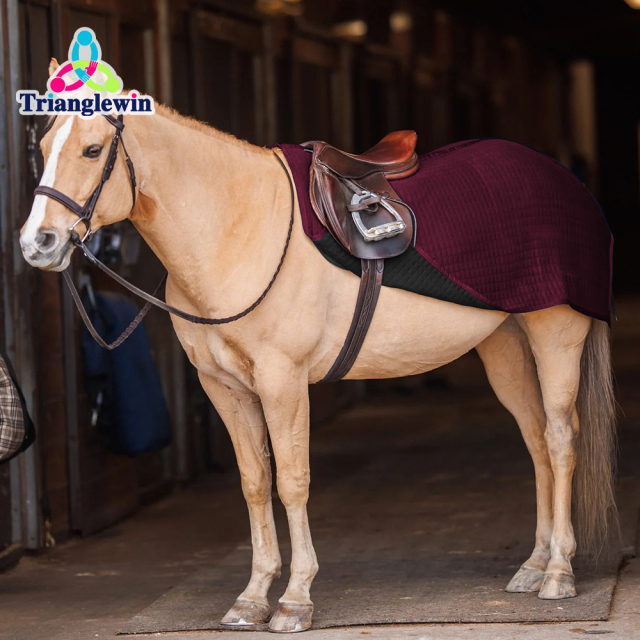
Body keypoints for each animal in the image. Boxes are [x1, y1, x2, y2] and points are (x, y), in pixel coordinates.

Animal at [20, 65, 617, 634]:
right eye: (42, 149)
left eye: (92, 150)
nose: (37, 244)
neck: (239, 227)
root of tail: (561, 178)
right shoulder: (225, 388)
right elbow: (255, 483)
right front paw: (251, 598)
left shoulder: (282, 381)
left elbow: (292, 482)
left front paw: (295, 600)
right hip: (506, 346)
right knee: (535, 439)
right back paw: (535, 564)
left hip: (555, 333)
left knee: (561, 438)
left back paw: (559, 572)